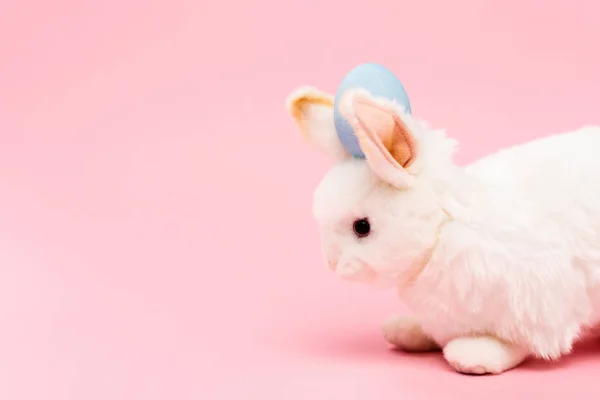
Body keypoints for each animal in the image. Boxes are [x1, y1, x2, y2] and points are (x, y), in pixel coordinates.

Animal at [286, 85, 600, 376]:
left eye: (362, 227)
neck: (441, 231)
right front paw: (407, 330)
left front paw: (475, 355)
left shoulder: (536, 302)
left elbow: (515, 343)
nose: (332, 263)